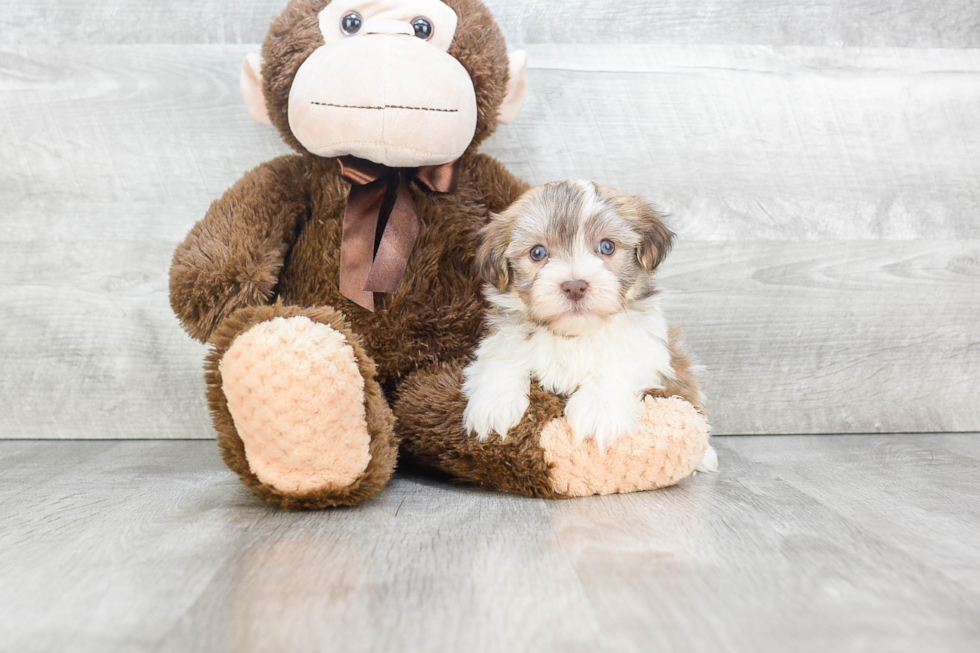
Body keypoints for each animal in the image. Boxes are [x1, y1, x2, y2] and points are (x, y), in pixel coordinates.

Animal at [464, 181, 716, 468]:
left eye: (606, 247)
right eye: (537, 252)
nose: (574, 286)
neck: (574, 334)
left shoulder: (648, 348)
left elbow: (616, 366)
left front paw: (599, 410)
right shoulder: (501, 338)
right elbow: (502, 359)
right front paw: (495, 404)